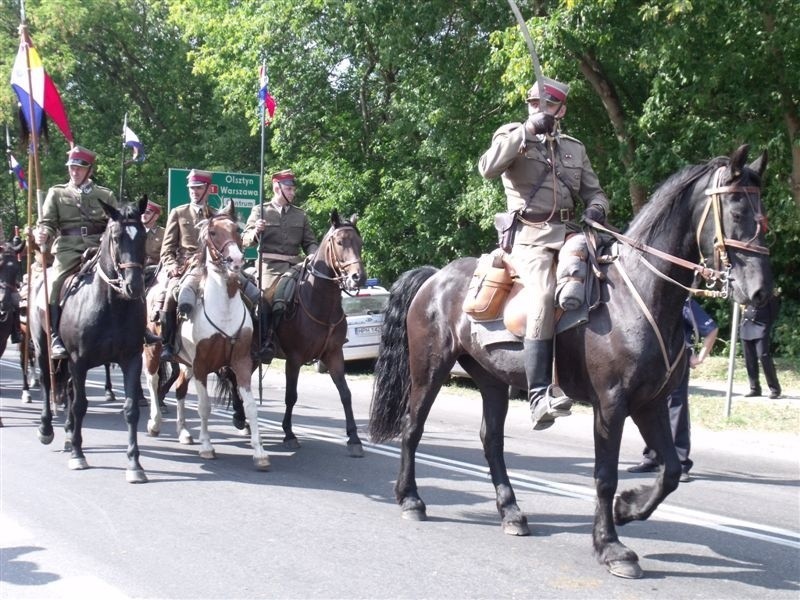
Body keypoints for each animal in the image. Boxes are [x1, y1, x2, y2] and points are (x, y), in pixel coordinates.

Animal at [30, 197, 150, 482]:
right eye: (116, 238)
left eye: (143, 236)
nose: (135, 287)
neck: (111, 304)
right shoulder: (78, 360)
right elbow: (80, 405)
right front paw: (78, 454)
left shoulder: (132, 359)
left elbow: (131, 409)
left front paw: (134, 464)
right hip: (42, 350)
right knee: (47, 384)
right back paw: (47, 429)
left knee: (67, 392)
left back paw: (67, 434)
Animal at [143, 204, 268, 472]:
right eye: (212, 232)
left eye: (236, 230)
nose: (236, 260)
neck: (223, 308)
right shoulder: (201, 364)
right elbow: (204, 407)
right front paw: (207, 447)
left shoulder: (241, 362)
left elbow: (251, 406)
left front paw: (260, 452)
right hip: (152, 350)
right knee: (153, 380)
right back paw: (155, 422)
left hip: (185, 363)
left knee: (180, 388)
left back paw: (183, 433)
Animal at [370, 144, 776, 576]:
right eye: (736, 210)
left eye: (763, 216)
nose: (760, 292)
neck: (640, 297)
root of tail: (436, 277)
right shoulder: (612, 405)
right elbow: (604, 476)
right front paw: (611, 546)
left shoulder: (650, 404)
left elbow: (670, 470)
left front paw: (629, 509)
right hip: (428, 370)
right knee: (412, 428)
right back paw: (411, 500)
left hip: (492, 379)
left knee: (491, 440)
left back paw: (511, 512)